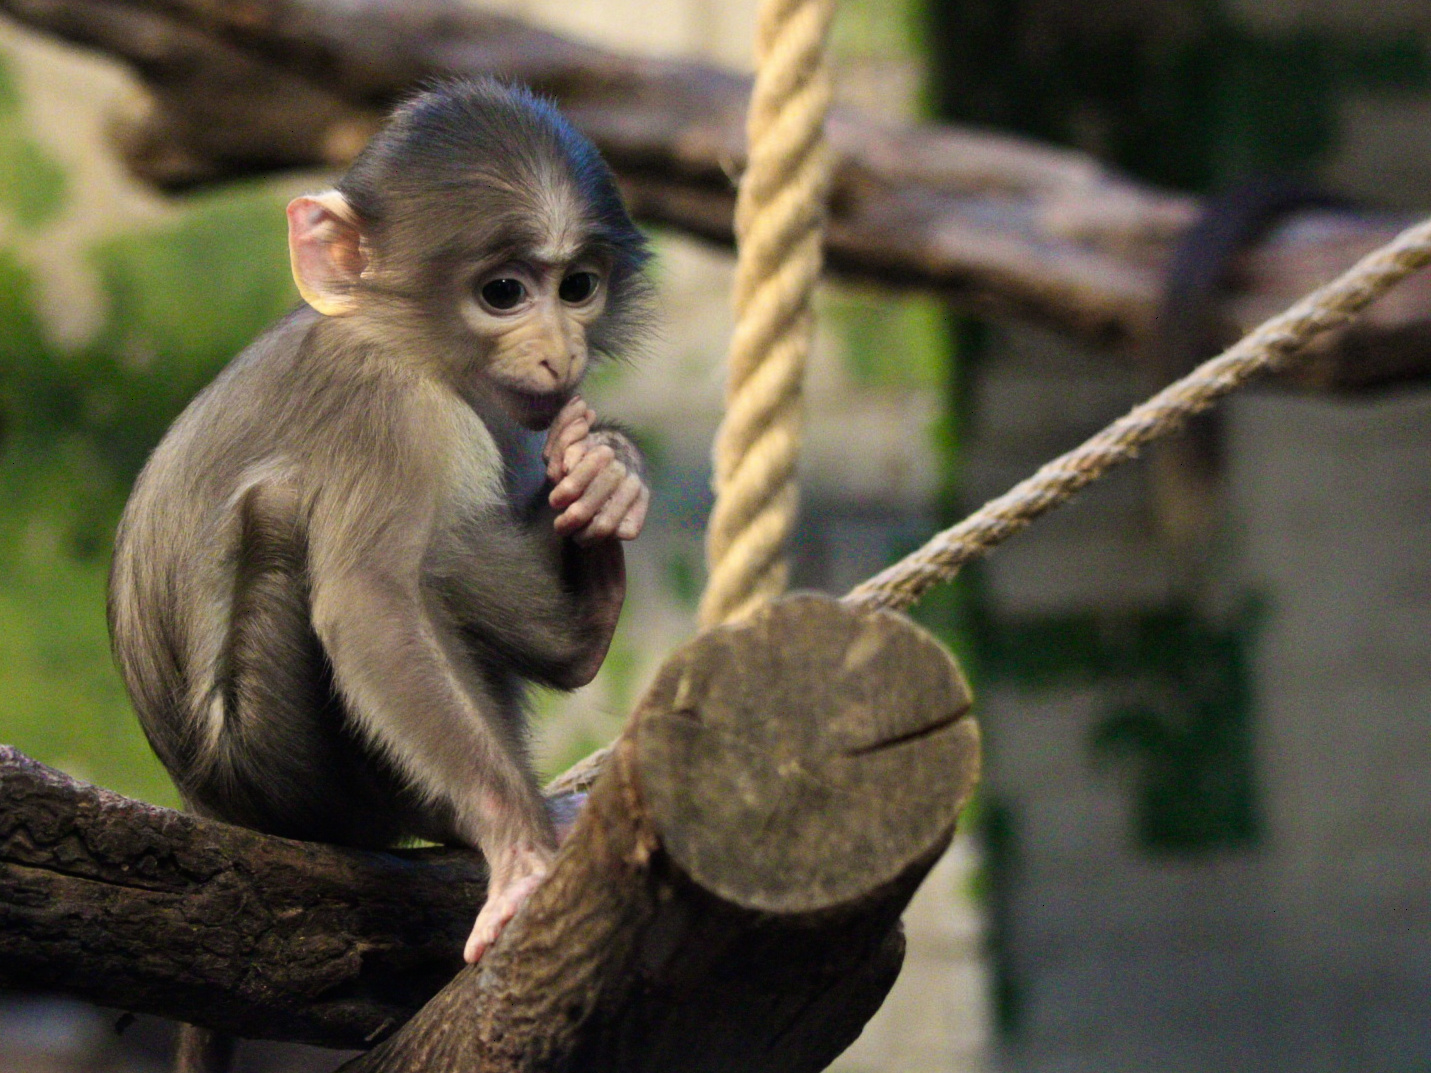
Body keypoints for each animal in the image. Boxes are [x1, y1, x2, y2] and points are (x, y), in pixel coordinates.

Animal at [107, 79, 652, 1066]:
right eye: (503, 292)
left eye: (577, 287)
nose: (559, 351)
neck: (394, 338)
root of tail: (204, 803)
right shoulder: (388, 414)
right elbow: (370, 605)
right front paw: (517, 850)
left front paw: (607, 470)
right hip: (283, 768)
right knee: (310, 520)